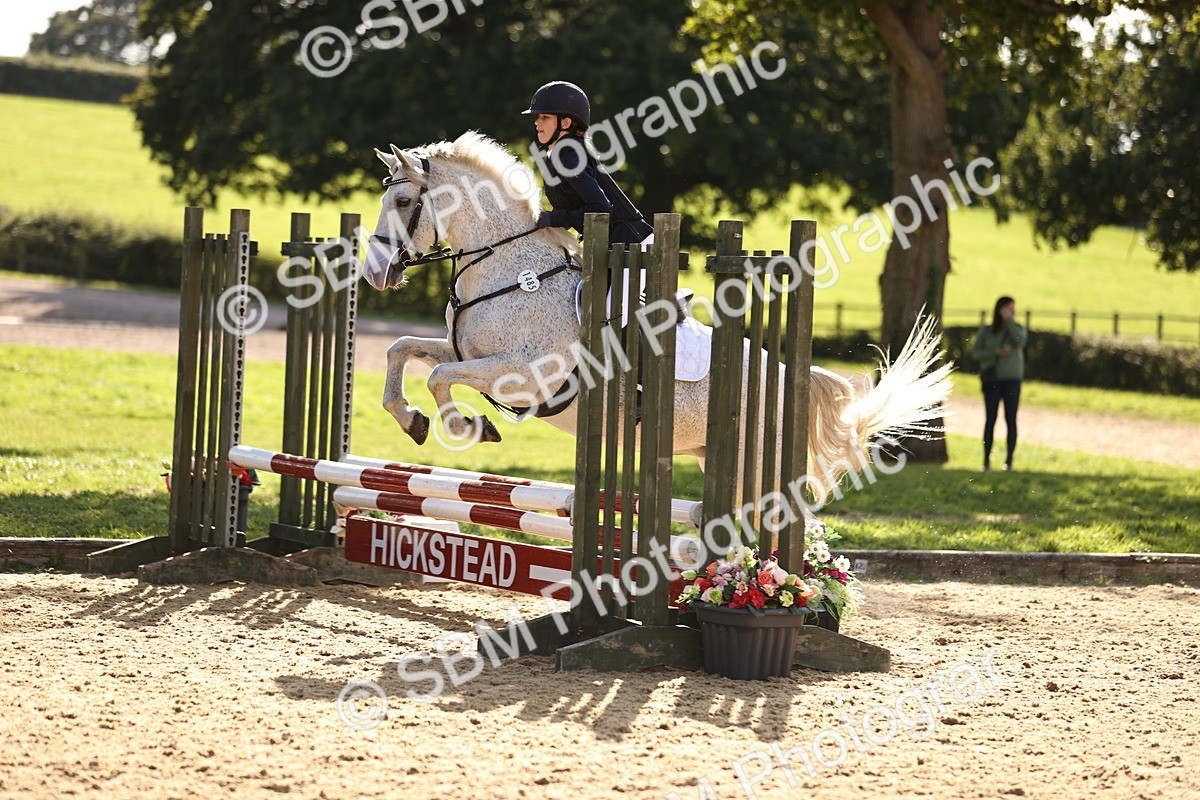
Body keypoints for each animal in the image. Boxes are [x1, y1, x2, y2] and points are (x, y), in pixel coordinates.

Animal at [362, 132, 952, 504]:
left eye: (406, 201)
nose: (373, 274)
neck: (509, 269)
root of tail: (792, 379)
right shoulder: (468, 352)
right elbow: (403, 350)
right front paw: (412, 420)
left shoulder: (523, 373)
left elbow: (440, 376)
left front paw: (466, 426)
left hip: (749, 464)